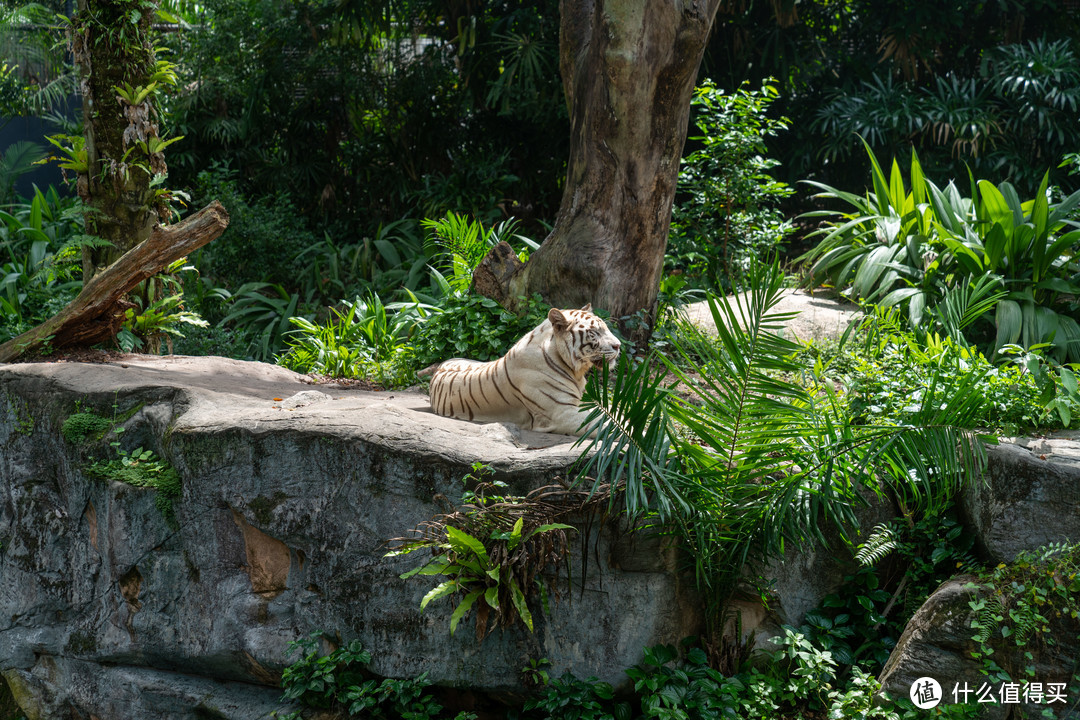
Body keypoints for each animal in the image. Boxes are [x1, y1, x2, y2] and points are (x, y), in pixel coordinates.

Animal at [423, 302, 622, 433]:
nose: (618, 346)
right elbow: (609, 424)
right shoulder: (563, 413)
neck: (575, 371)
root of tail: (442, 364)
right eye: (594, 333)